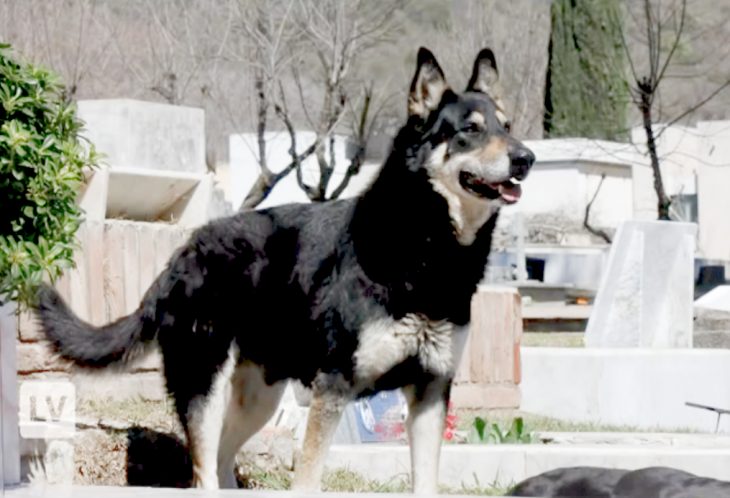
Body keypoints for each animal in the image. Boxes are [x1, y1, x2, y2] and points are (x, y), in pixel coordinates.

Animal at [35, 47, 536, 494]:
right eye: (470, 131)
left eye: (507, 127)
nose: (526, 159)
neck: (424, 247)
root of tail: (183, 253)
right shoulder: (335, 387)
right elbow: (309, 478)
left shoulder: (431, 391)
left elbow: (426, 482)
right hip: (204, 385)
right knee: (203, 474)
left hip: (259, 396)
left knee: (223, 461)